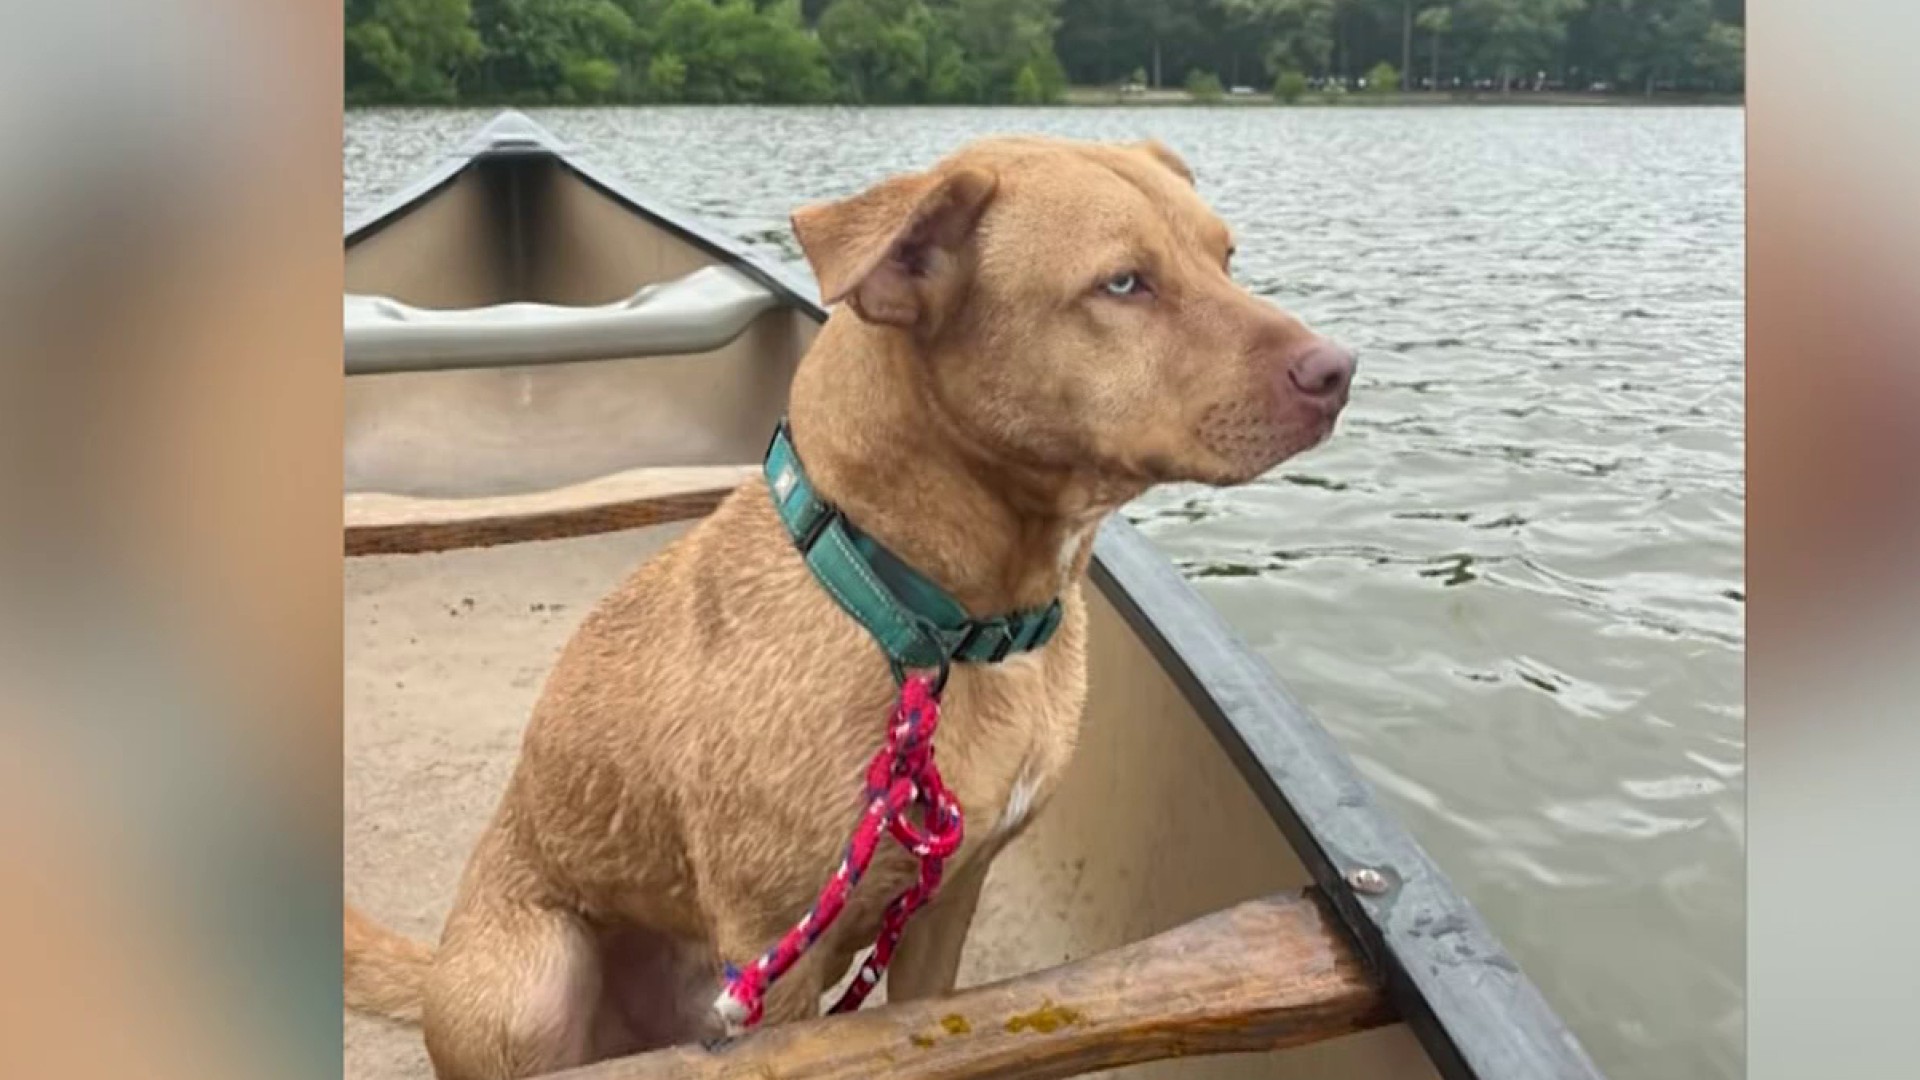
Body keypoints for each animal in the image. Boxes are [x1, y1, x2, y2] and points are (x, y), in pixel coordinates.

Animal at [353, 136, 1359, 1076]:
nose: (1338, 370)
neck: (937, 627)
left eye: (1225, 256)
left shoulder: (949, 898)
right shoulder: (777, 959)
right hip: (532, 988)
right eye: (1122, 282)